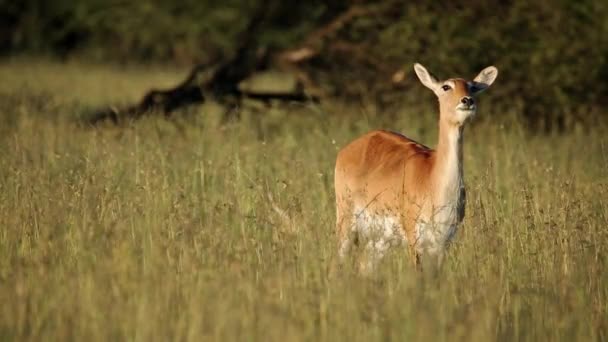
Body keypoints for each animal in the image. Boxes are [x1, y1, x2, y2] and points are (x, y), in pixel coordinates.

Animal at [332, 62, 498, 272]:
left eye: (472, 86)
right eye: (446, 86)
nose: (467, 100)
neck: (434, 182)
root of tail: (345, 150)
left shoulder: (443, 243)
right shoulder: (414, 237)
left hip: (382, 239)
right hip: (346, 221)